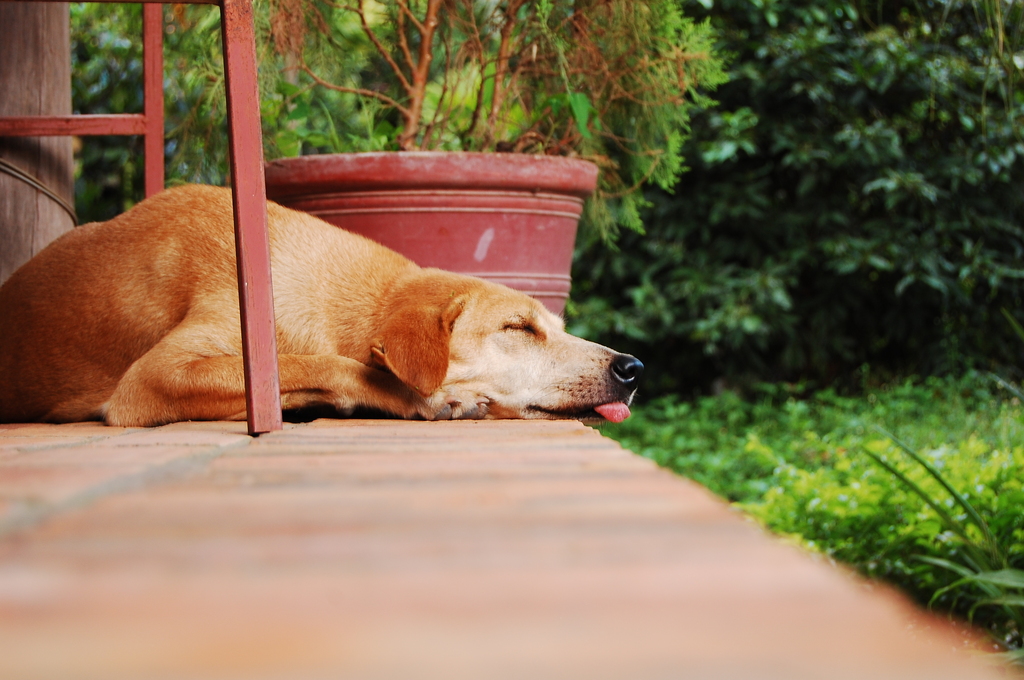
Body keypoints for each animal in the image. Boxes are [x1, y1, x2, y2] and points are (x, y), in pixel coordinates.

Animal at [0, 184, 638, 426]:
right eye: (518, 327)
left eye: (557, 326)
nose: (632, 367)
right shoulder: (151, 380)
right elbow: (322, 363)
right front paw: (430, 398)